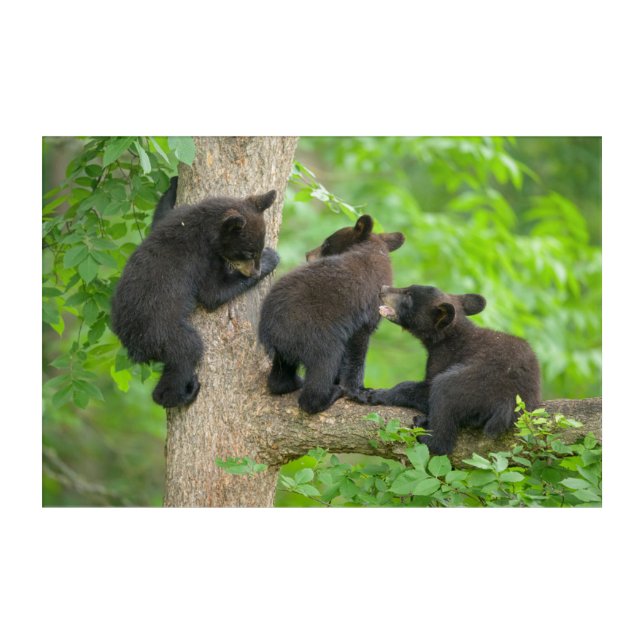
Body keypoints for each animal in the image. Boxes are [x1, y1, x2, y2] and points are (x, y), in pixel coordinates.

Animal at [111, 185, 280, 408]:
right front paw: (272, 259)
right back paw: (182, 394)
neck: (203, 225)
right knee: (187, 351)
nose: (255, 272)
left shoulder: (173, 218)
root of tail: (132, 345)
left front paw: (173, 185)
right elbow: (212, 293)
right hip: (162, 332)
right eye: (248, 253)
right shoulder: (200, 258)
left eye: (257, 250)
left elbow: (160, 216)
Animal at [258, 214, 405, 414]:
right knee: (324, 365)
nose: (307, 254)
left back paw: (292, 383)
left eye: (326, 243)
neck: (373, 251)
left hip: (288, 348)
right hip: (316, 335)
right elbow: (356, 351)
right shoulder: (363, 313)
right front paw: (359, 390)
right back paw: (329, 394)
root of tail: (269, 332)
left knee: (281, 376)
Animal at [347, 285, 541, 455]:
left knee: (444, 395)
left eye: (409, 295)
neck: (448, 336)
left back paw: (424, 431)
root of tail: (509, 401)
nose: (383, 288)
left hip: (477, 383)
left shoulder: (444, 357)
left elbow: (424, 388)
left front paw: (375, 394)